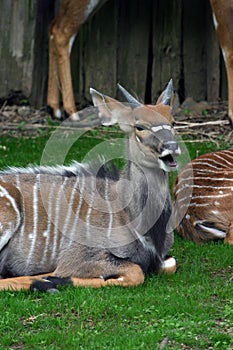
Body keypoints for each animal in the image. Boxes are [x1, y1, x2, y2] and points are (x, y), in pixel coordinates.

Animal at [0, 80, 179, 292]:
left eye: (173, 122)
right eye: (140, 126)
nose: (171, 147)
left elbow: (170, 265)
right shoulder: (77, 257)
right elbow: (136, 272)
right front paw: (54, 279)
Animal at [46, 0, 233, 126]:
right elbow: (228, 50)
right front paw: (231, 117)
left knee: (54, 27)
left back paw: (54, 108)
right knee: (62, 30)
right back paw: (71, 112)